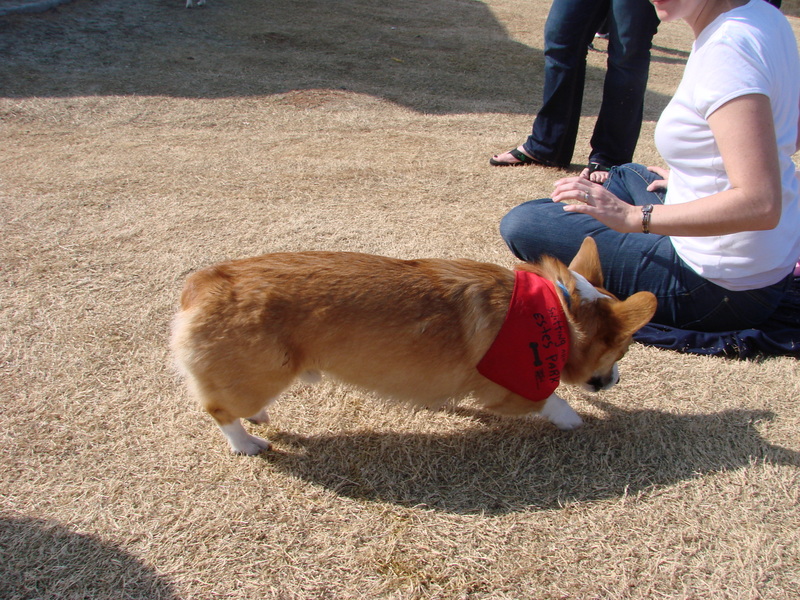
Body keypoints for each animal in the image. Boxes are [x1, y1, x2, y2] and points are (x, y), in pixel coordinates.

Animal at [172, 239, 652, 454]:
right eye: (622, 352)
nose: (616, 382)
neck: (560, 311)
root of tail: (202, 284)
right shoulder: (513, 385)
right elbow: (551, 399)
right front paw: (573, 419)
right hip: (261, 374)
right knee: (219, 410)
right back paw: (247, 443)